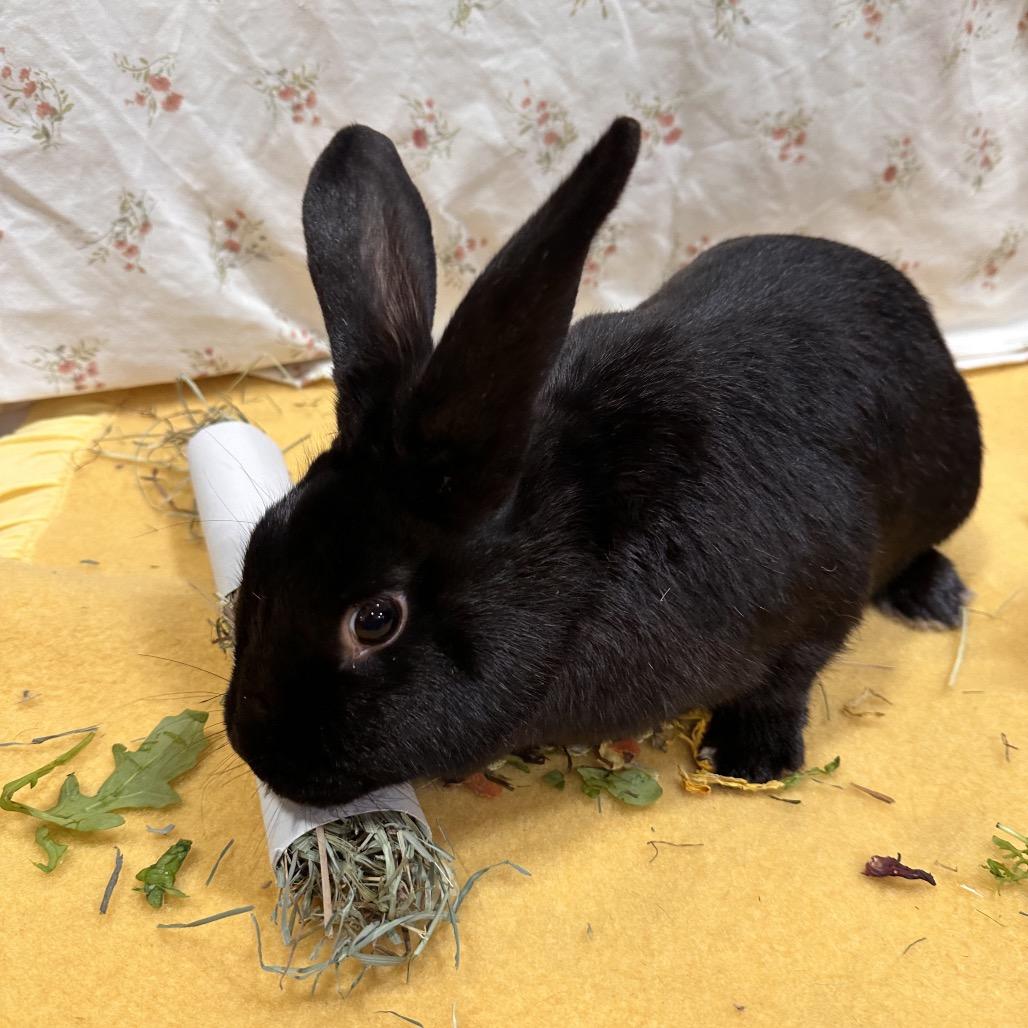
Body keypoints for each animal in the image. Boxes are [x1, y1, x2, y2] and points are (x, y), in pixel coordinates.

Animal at [223, 117, 981, 806]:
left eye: (375, 619)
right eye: (259, 547)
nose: (259, 752)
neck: (581, 546)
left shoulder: (824, 589)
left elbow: (789, 677)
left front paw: (748, 759)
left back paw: (934, 599)